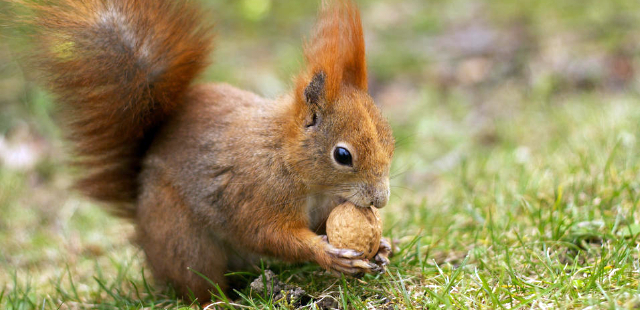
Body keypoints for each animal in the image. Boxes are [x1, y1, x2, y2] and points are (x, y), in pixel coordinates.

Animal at [17, 0, 396, 302]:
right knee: (198, 283)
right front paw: (327, 254)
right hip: (183, 240)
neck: (288, 160)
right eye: (343, 156)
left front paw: (381, 248)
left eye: (390, 141)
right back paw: (220, 301)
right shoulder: (256, 192)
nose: (380, 200)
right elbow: (268, 234)